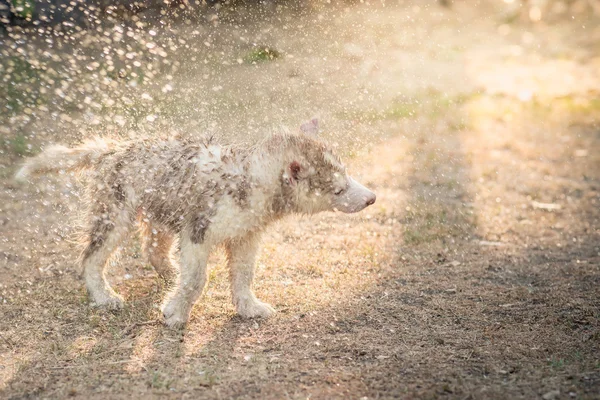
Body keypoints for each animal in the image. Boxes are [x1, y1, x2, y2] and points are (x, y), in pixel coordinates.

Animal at [17, 119, 376, 328]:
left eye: (346, 175)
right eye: (337, 188)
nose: (372, 198)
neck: (250, 182)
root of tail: (112, 148)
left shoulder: (246, 237)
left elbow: (244, 276)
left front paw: (249, 307)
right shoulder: (198, 233)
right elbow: (197, 280)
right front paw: (176, 312)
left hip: (160, 215)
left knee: (152, 249)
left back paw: (168, 275)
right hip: (115, 216)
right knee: (91, 258)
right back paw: (104, 296)